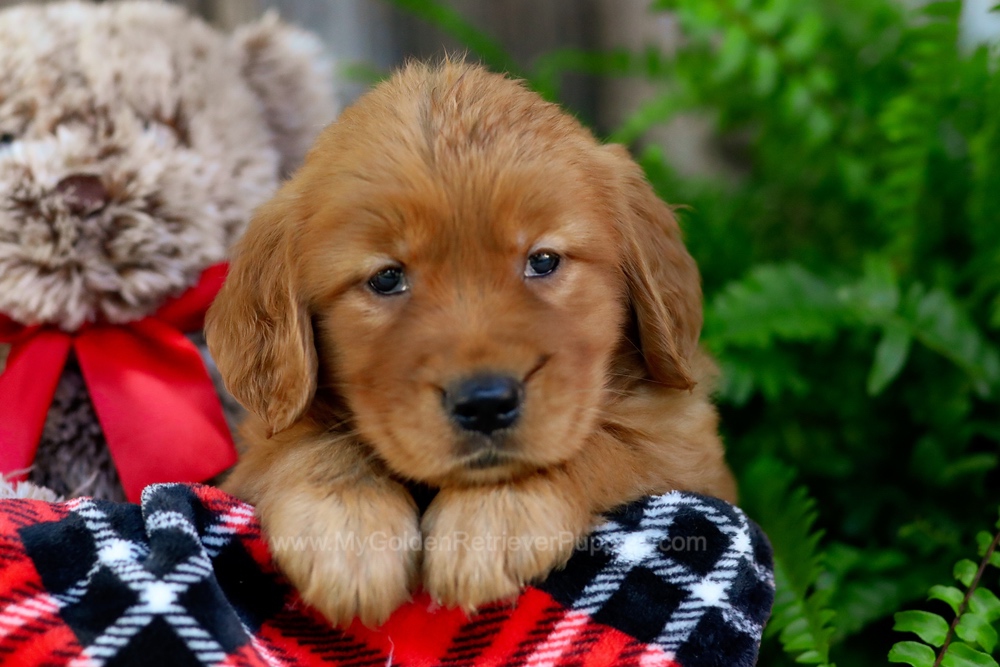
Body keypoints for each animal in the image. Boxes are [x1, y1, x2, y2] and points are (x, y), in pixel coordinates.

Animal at [205, 60, 736, 628]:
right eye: (387, 278)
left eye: (543, 261)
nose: (485, 403)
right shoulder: (262, 442)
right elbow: (303, 443)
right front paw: (347, 529)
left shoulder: (686, 446)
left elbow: (607, 440)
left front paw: (491, 519)